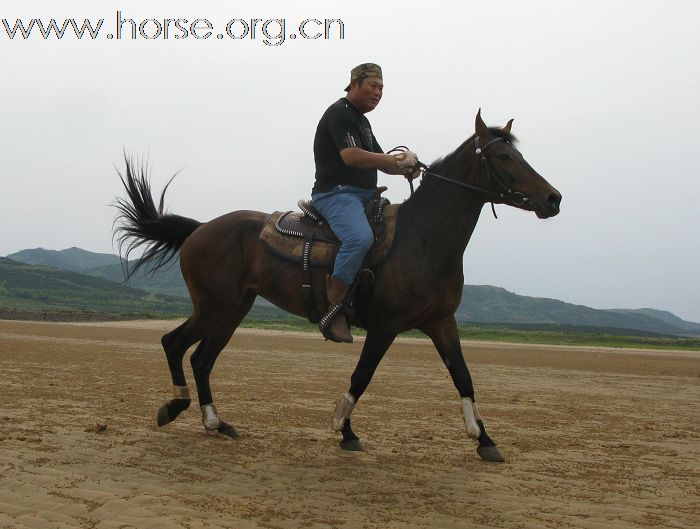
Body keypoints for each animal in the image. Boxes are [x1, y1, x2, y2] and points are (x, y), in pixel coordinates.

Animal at [116, 111, 564, 462]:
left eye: (519, 154)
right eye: (504, 156)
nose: (553, 198)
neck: (422, 238)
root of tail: (200, 229)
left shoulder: (441, 322)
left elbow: (464, 377)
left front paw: (485, 440)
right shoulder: (385, 326)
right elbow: (361, 376)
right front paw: (344, 430)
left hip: (233, 310)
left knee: (201, 358)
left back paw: (214, 421)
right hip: (216, 307)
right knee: (175, 344)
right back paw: (175, 407)